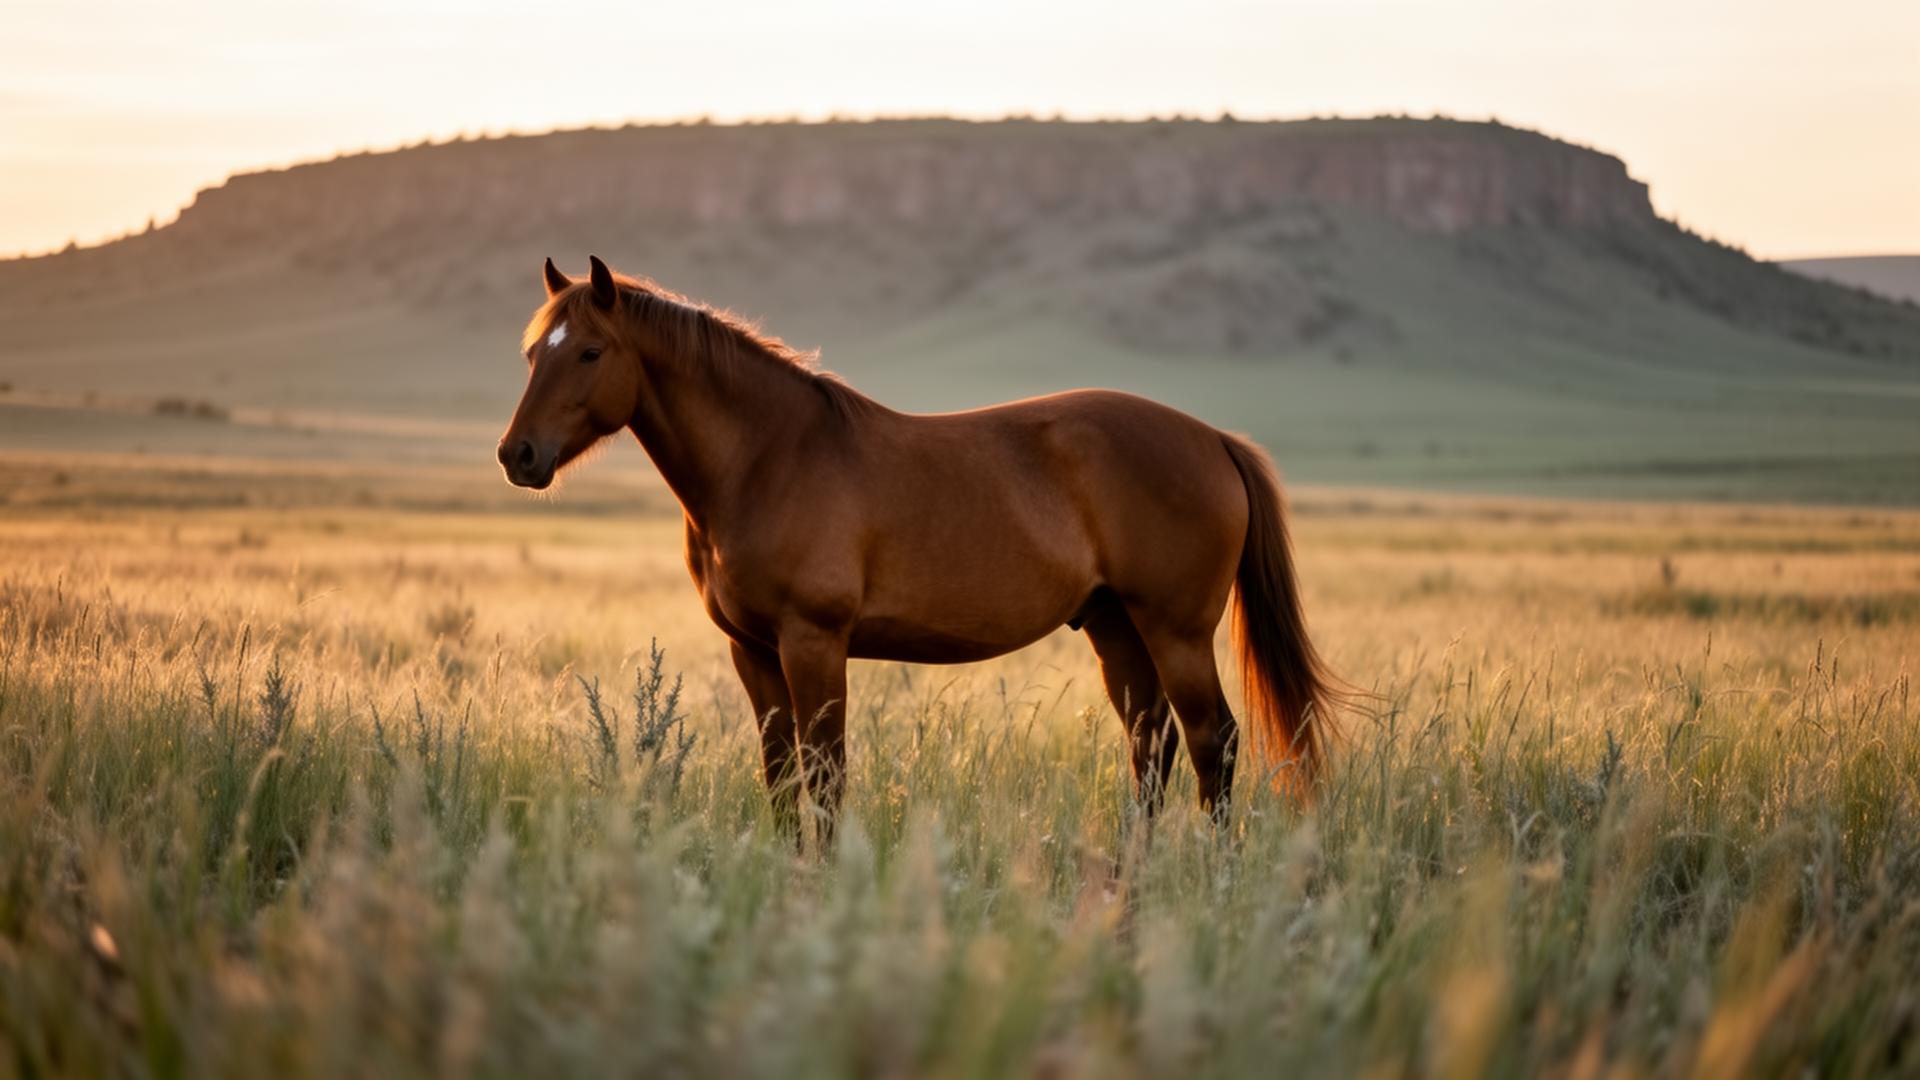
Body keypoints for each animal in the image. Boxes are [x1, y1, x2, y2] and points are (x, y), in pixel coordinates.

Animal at [499, 255, 1335, 842]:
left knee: (1213, 743)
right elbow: (781, 779)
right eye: (533, 353)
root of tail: (1214, 439)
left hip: (1176, 631)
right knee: (1150, 746)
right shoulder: (753, 650)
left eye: (591, 352)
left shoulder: (813, 641)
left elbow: (825, 777)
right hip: (1116, 629)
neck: (767, 456)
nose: (519, 456)